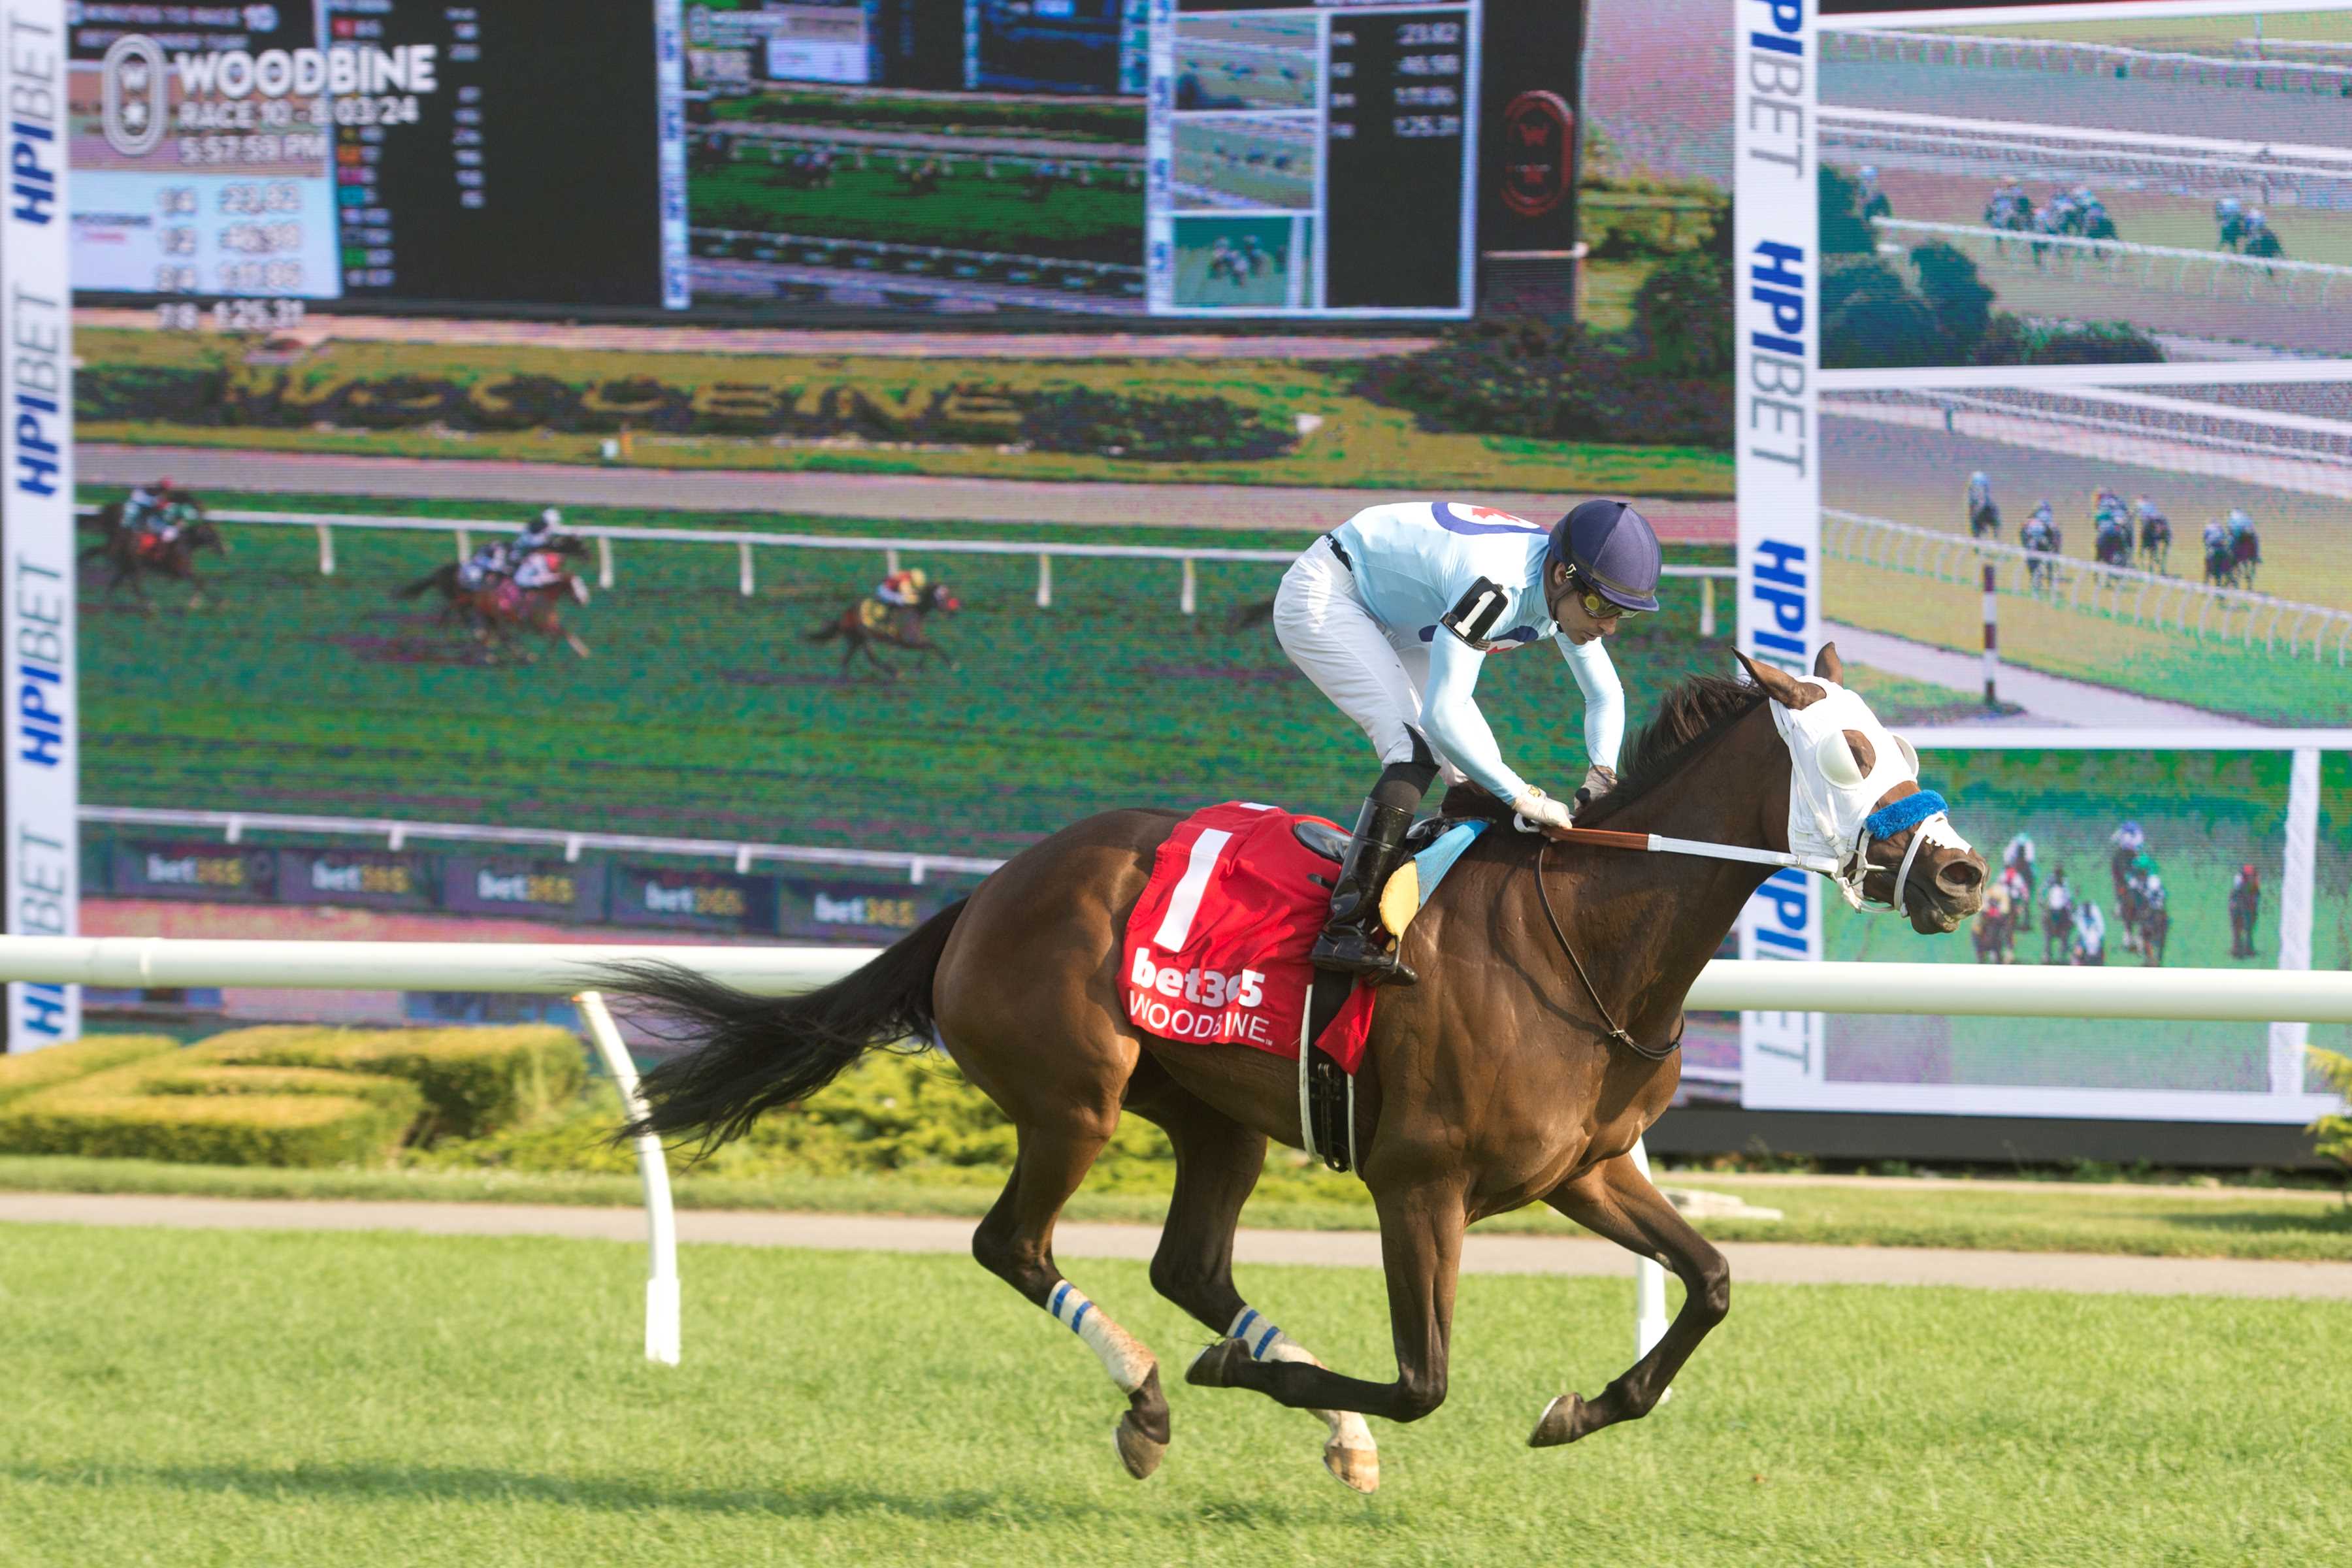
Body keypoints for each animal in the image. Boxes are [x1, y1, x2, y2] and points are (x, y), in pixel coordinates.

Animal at [602, 649, 1985, 1495]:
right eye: (1853, 755)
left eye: (1905, 753)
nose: (1965, 875)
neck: (1580, 939)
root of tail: (990, 891)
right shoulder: (1418, 1185)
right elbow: (1427, 1381)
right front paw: (1244, 1381)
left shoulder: (1584, 1169)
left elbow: (1712, 1282)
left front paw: (1579, 1409)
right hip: (1073, 1099)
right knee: (1016, 1245)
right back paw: (1157, 1395)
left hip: (1218, 1118)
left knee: (1189, 1266)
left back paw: (1318, 1427)